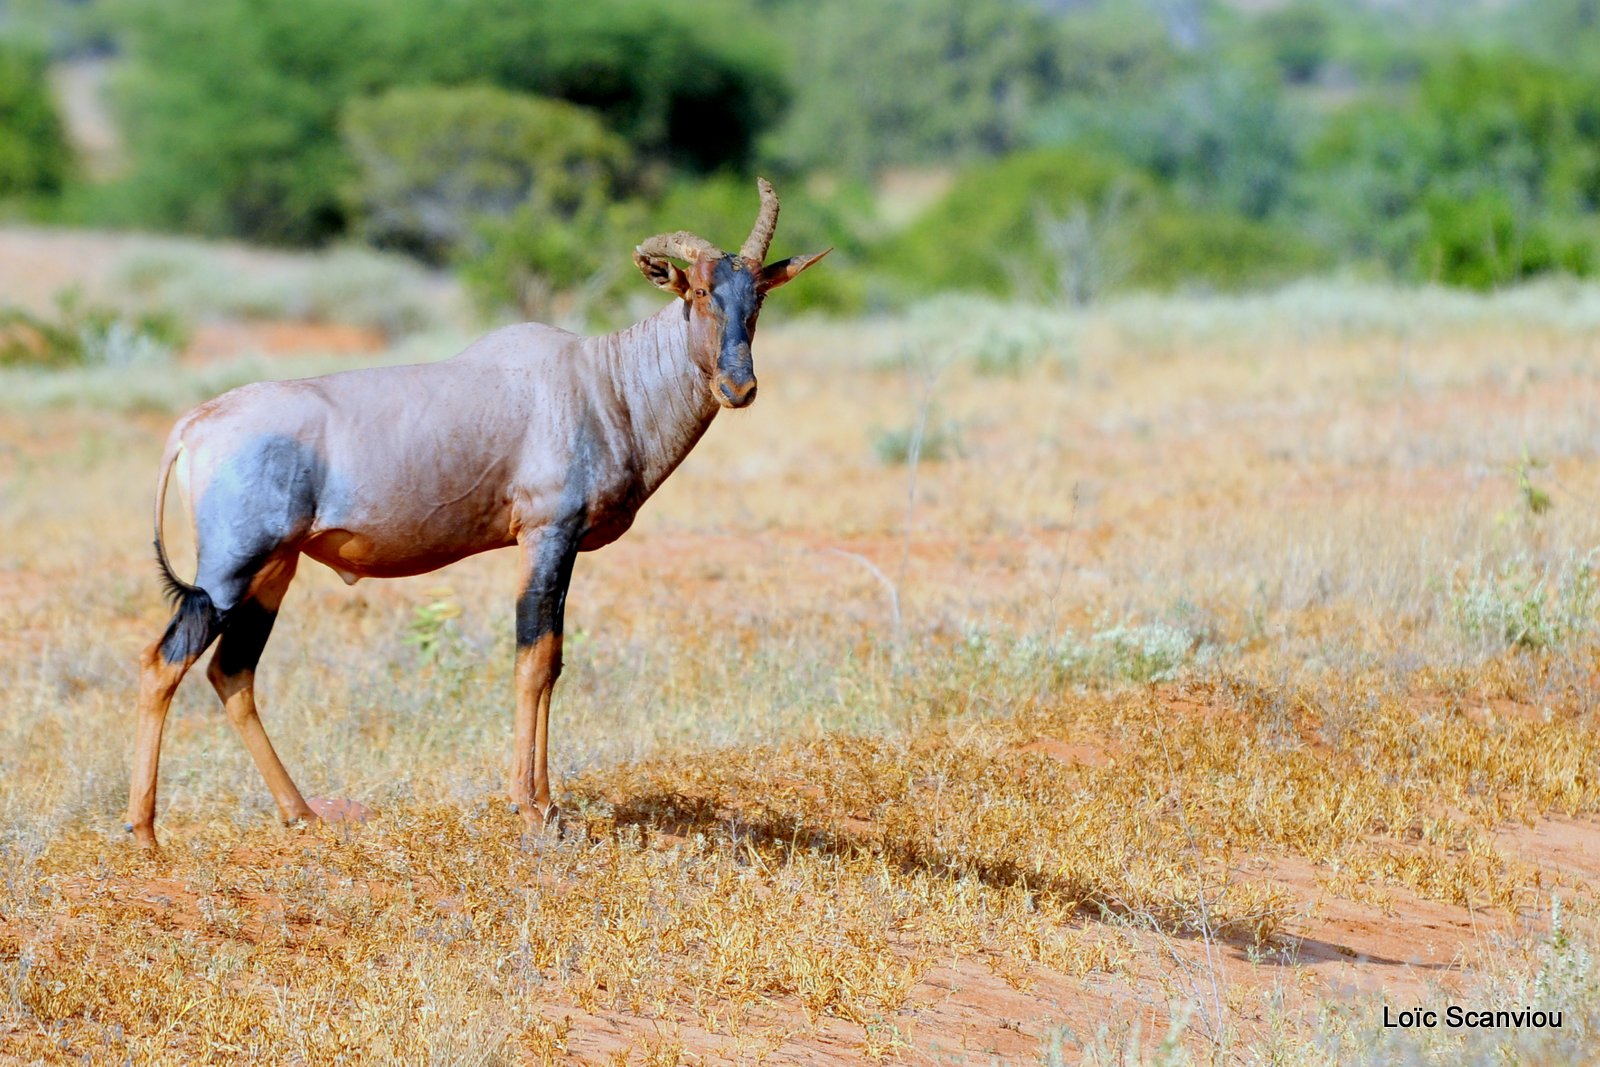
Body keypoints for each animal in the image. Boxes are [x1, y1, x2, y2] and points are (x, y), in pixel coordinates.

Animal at [124, 181, 825, 851]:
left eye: (758, 297)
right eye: (701, 290)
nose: (739, 388)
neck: (600, 380)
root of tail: (195, 424)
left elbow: (552, 661)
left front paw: (548, 805)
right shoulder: (547, 535)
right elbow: (535, 659)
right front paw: (533, 808)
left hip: (275, 570)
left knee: (232, 672)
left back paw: (301, 815)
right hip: (228, 570)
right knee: (165, 663)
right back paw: (145, 833)